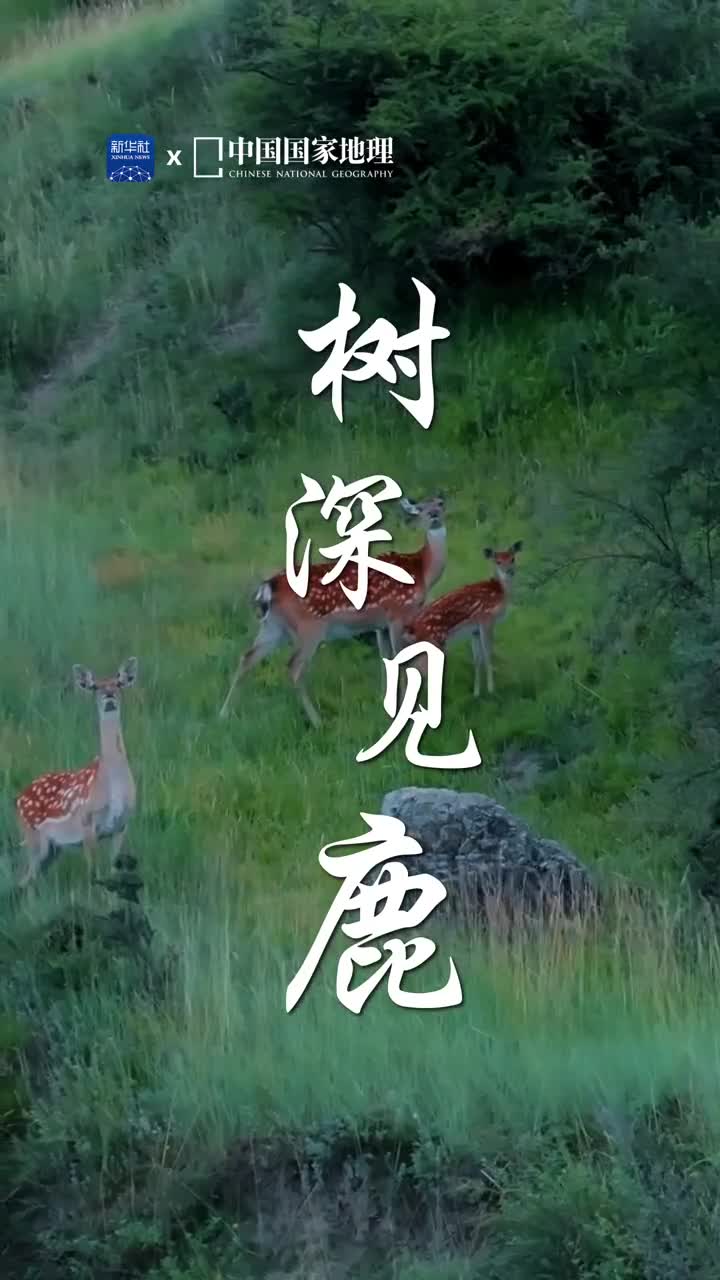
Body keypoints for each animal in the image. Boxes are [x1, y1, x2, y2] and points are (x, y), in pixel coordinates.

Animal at [15, 658, 138, 889]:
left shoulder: (121, 825)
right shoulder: (87, 821)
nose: (109, 695)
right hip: (34, 838)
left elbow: (114, 872)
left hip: (53, 849)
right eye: (95, 687)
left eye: (118, 683)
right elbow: (93, 873)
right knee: (25, 878)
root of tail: (17, 800)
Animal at [218, 495, 447, 727]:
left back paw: (224, 714)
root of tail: (270, 585)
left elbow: (386, 659)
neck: (422, 571)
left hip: (273, 626)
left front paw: (385, 701)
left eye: (440, 504)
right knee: (294, 667)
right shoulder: (398, 612)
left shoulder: (379, 624)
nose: (434, 515)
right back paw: (317, 721)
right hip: (310, 626)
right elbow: (400, 660)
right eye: (420, 509)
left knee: (247, 658)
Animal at [400, 541, 523, 696]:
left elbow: (477, 659)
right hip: (435, 641)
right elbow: (488, 654)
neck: (500, 593)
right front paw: (491, 691)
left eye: (513, 559)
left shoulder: (474, 630)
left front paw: (477, 693)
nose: (509, 571)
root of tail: (411, 628)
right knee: (417, 669)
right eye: (498, 561)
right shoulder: (486, 619)